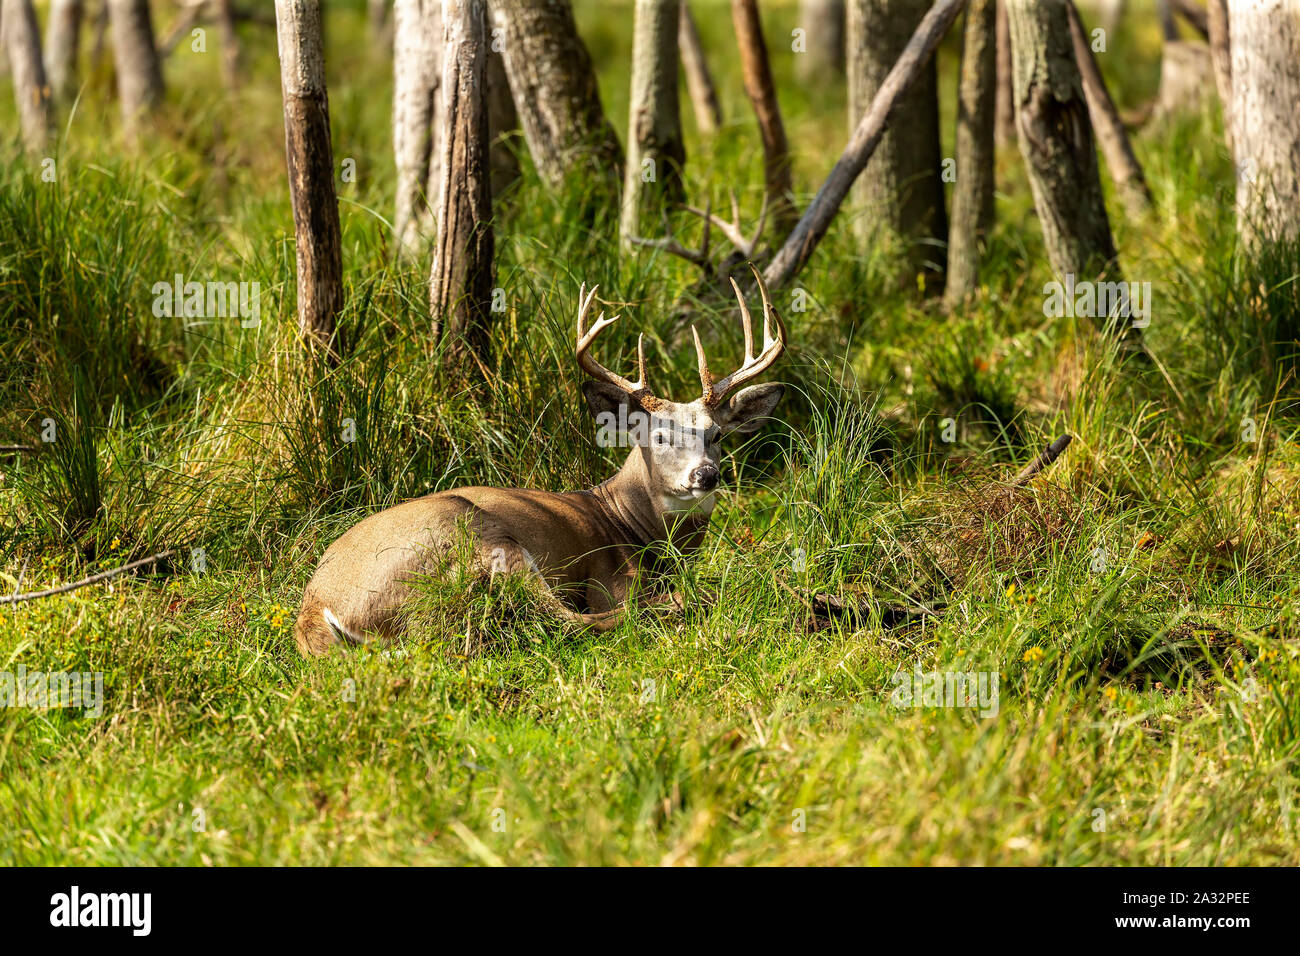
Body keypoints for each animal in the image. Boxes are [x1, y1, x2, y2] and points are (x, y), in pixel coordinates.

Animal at [292, 269, 780, 658]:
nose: (706, 474)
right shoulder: (609, 576)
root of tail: (316, 606)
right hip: (476, 536)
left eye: (717, 435)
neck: (629, 521)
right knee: (558, 620)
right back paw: (685, 603)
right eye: (658, 436)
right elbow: (612, 605)